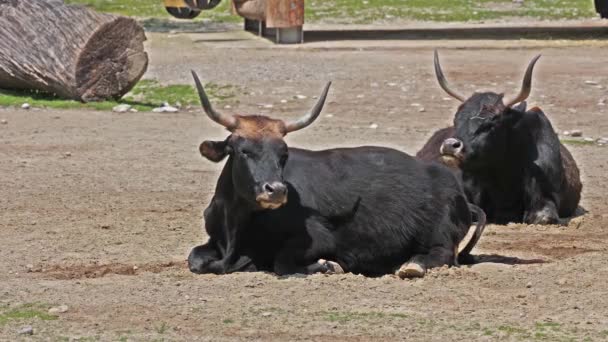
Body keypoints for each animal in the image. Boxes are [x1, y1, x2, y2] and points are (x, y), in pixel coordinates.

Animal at [188, 71, 486, 278]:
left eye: (283, 154)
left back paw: (412, 265)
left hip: (440, 236)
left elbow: (283, 263)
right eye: (242, 150)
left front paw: (327, 265)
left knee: (440, 254)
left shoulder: (316, 238)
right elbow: (195, 259)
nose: (276, 190)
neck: (236, 225)